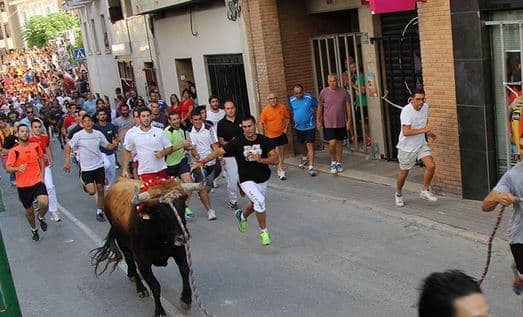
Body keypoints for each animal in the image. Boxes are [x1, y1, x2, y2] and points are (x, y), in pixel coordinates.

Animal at [90, 177, 201, 314]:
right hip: (124, 244)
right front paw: (160, 311)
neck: (158, 236)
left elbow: (184, 270)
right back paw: (140, 288)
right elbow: (155, 286)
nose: (183, 237)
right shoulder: (143, 261)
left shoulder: (179, 250)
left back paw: (131, 275)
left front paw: (186, 299)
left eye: (183, 207)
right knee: (130, 261)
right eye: (160, 212)